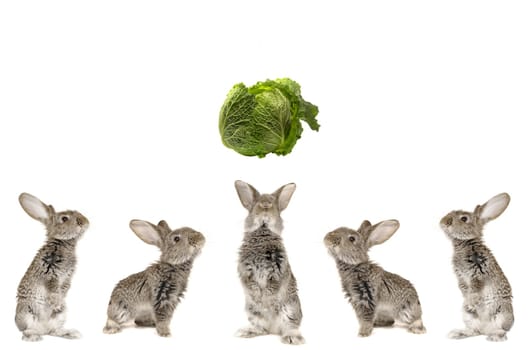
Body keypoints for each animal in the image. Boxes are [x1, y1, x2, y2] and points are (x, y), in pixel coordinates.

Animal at [14, 193, 89, 340]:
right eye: (64, 218)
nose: (85, 222)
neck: (63, 243)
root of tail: (42, 329)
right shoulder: (49, 273)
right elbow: (54, 289)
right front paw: (56, 302)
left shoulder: (67, 277)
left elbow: (64, 288)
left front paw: (59, 303)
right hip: (27, 312)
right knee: (25, 331)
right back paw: (34, 337)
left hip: (60, 318)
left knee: (53, 331)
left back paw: (71, 333)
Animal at [235, 180, 306, 344]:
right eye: (257, 203)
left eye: (273, 204)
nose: (266, 205)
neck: (263, 230)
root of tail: (274, 329)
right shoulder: (245, 270)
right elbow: (251, 284)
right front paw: (259, 297)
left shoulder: (278, 270)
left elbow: (273, 286)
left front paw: (266, 298)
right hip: (252, 311)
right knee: (262, 328)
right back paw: (246, 332)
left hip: (290, 309)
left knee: (290, 327)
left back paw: (292, 338)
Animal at [440, 193, 512, 340]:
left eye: (464, 218)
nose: (444, 221)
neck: (465, 243)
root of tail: (486, 329)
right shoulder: (461, 277)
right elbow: (463, 288)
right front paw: (468, 304)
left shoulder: (479, 273)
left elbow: (474, 290)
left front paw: (471, 303)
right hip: (469, 318)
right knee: (475, 331)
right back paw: (457, 333)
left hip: (501, 312)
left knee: (502, 330)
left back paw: (495, 336)